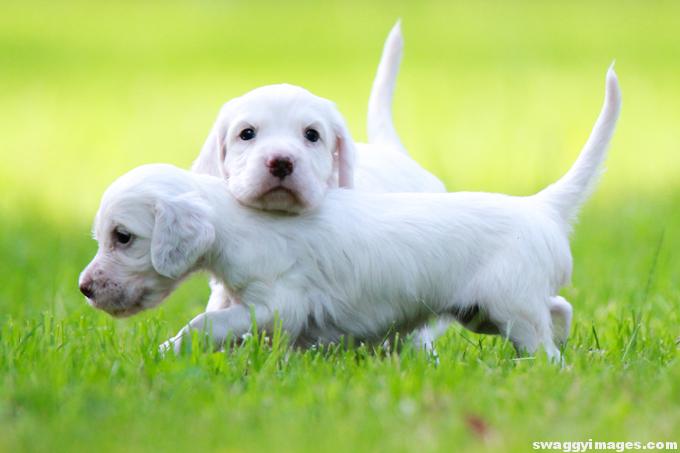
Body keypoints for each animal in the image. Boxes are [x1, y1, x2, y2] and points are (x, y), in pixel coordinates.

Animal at [78, 69, 620, 362]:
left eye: (123, 237)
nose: (84, 288)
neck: (237, 221)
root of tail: (541, 206)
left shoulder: (278, 303)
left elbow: (206, 324)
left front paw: (168, 352)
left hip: (510, 308)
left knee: (546, 348)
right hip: (484, 312)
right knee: (559, 309)